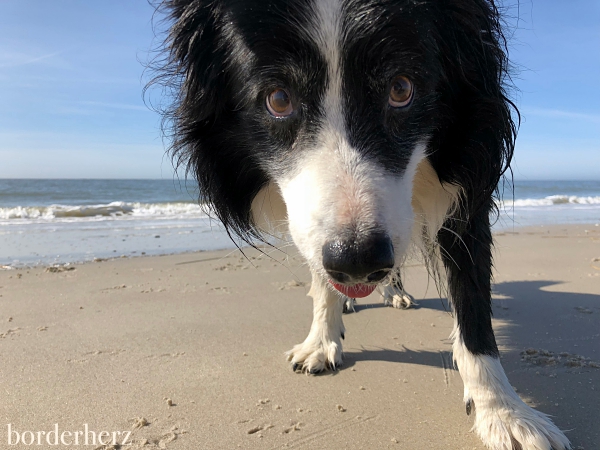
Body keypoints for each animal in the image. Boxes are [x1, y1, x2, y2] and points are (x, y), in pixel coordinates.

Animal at [149, 1, 572, 448]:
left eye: (401, 89)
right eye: (278, 99)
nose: (356, 262)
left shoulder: (469, 174)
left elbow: (472, 302)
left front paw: (505, 413)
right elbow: (321, 278)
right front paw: (320, 341)